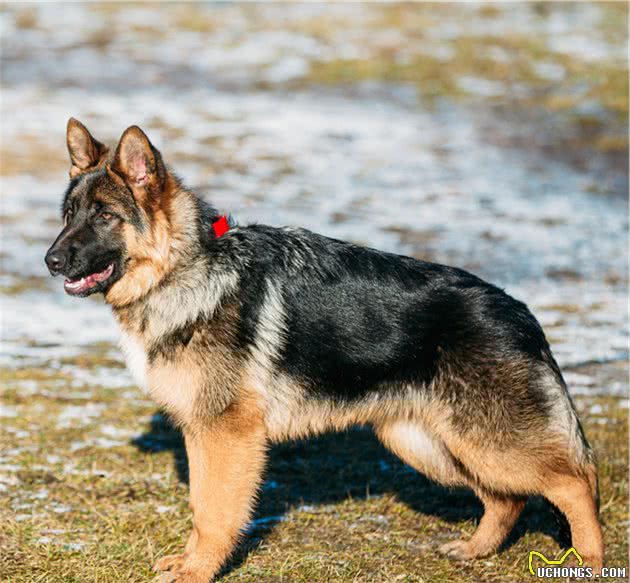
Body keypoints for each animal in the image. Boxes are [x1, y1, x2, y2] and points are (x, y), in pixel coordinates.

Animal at [47, 120, 604, 583]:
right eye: (69, 214)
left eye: (104, 216)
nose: (49, 260)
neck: (185, 268)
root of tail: (517, 310)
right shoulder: (202, 432)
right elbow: (202, 506)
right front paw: (189, 563)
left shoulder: (226, 435)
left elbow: (212, 512)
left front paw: (197, 571)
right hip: (431, 442)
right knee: (507, 498)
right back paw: (475, 550)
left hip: (486, 440)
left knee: (574, 482)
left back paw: (589, 560)